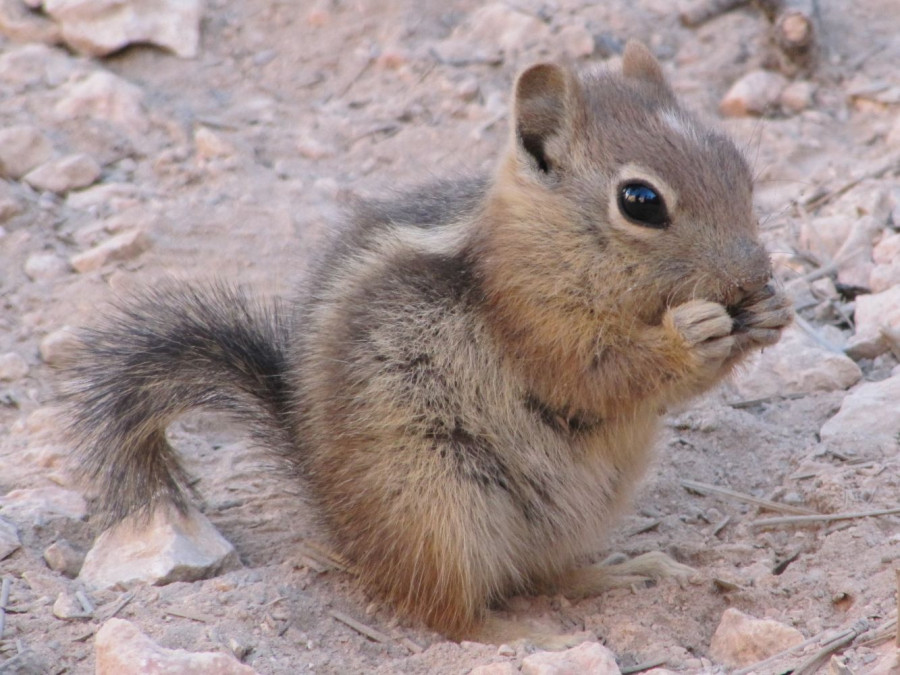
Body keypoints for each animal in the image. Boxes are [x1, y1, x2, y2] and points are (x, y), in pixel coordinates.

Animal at [63, 41, 792, 644]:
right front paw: (692, 331)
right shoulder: (532, 318)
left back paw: (623, 569)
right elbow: (595, 375)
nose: (753, 274)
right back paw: (528, 636)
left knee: (539, 574)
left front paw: (772, 314)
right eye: (641, 201)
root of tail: (339, 520)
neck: (542, 244)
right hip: (442, 507)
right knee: (452, 613)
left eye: (740, 167)